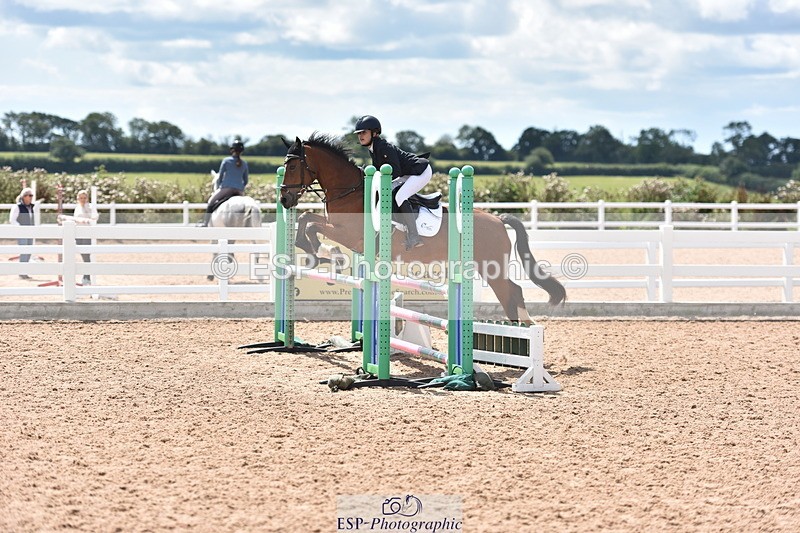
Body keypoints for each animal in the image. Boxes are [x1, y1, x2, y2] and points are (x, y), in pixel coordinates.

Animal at [279, 133, 566, 324]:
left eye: (292, 166)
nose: (284, 199)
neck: (350, 192)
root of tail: (498, 221)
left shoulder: (349, 235)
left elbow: (310, 222)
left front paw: (321, 253)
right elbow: (307, 220)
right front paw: (319, 255)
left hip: (491, 266)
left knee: (511, 292)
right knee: (513, 292)